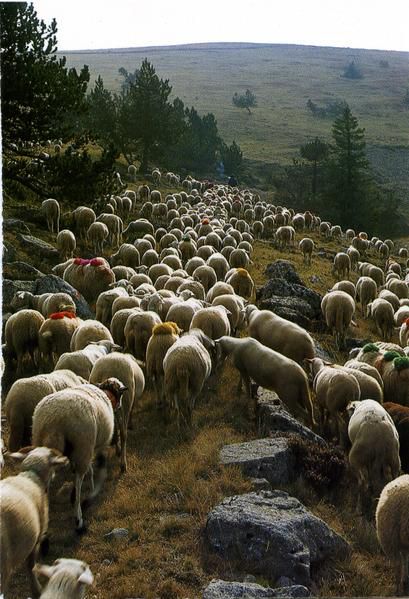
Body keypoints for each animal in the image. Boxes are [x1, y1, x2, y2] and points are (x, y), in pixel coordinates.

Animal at [32, 378, 126, 532]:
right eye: (120, 393)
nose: (119, 407)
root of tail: (54, 422)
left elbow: (89, 470)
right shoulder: (98, 445)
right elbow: (99, 468)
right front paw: (92, 491)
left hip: (42, 444)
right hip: (83, 445)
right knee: (79, 480)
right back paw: (79, 519)